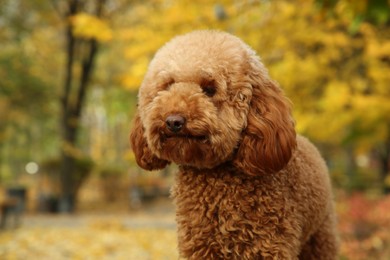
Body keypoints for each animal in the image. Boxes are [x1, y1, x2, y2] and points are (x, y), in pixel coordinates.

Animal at [129, 31, 336, 260]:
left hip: (320, 238)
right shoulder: (200, 246)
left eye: (209, 89)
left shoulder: (270, 245)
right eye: (167, 86)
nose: (174, 121)